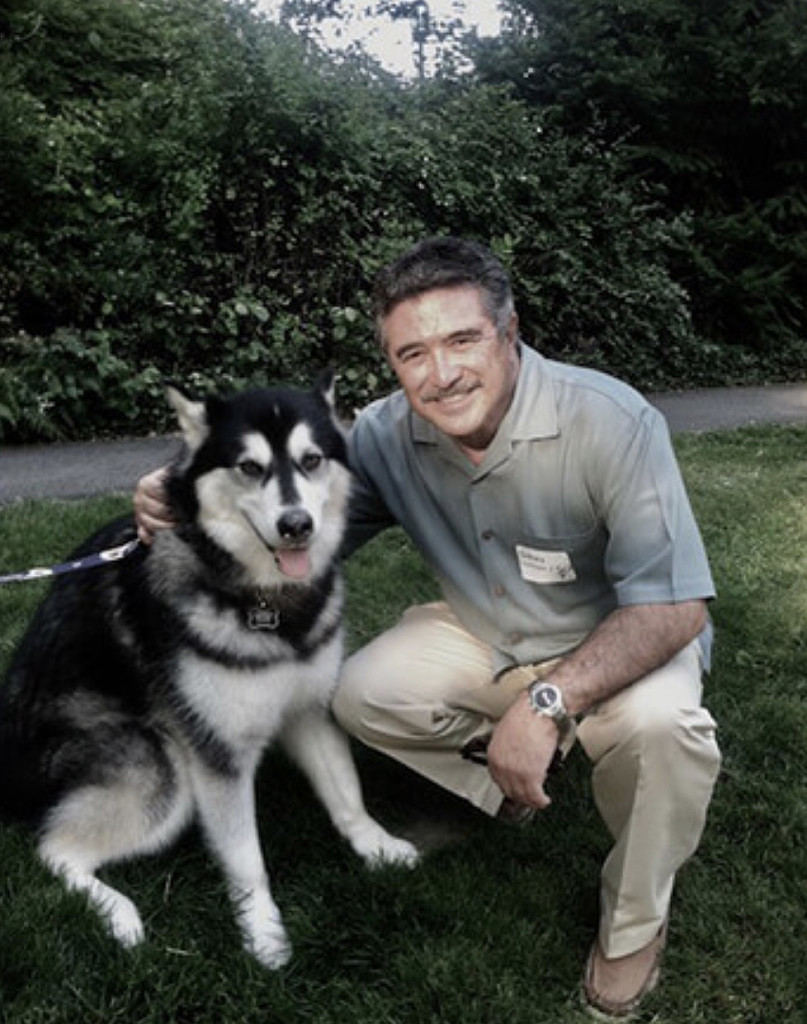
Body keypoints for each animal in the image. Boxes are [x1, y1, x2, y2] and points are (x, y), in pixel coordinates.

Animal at [0, 372, 418, 968]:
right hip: (164, 769)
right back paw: (120, 916)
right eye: (249, 467)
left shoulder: (307, 707)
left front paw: (376, 845)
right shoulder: (216, 752)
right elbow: (247, 860)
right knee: (53, 849)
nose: (296, 525)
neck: (267, 601)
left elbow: (346, 793)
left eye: (311, 460)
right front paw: (263, 934)